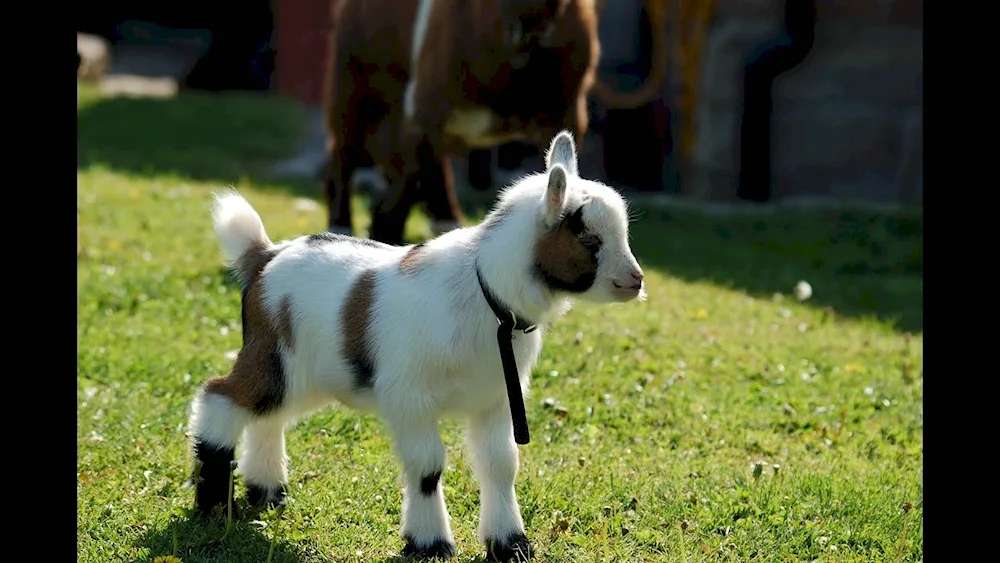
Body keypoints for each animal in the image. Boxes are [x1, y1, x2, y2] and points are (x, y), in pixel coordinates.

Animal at [188, 131, 644, 560]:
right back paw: (214, 507)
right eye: (589, 239)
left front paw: (510, 546)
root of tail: (265, 256)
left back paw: (267, 492)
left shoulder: (494, 397)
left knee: (269, 417)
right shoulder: (410, 397)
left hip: (306, 374)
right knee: (220, 397)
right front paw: (429, 544)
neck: (485, 291)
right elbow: (428, 468)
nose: (636, 280)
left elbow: (500, 465)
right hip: (273, 356)